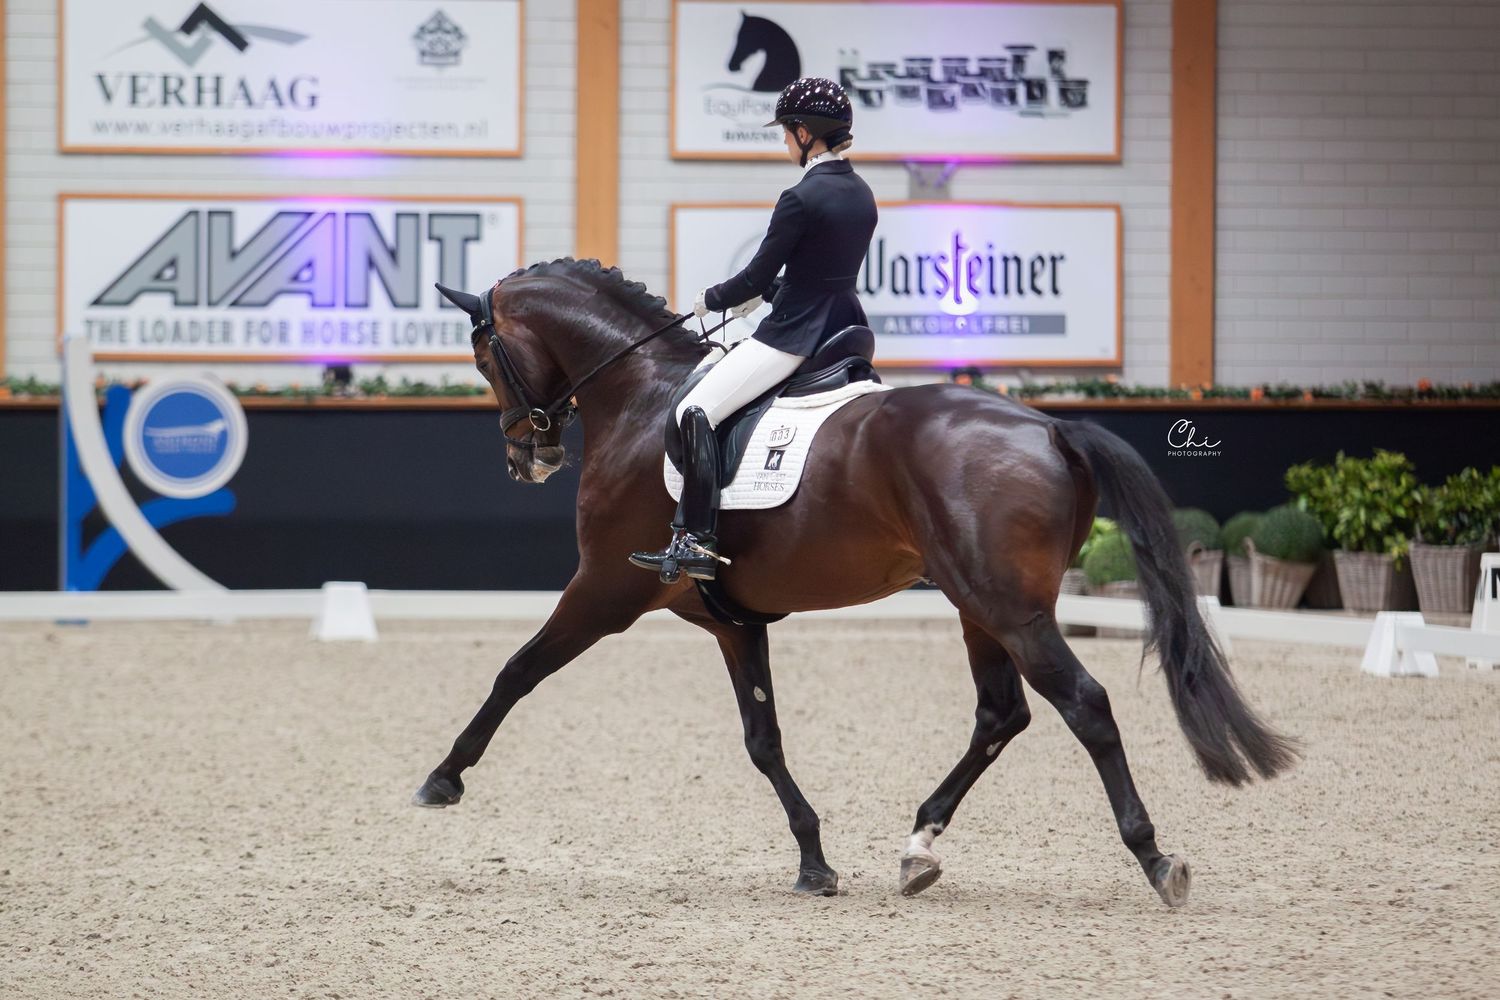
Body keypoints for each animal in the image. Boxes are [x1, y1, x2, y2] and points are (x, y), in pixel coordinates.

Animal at [411, 259, 1298, 906]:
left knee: (1084, 704)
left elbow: (516, 671)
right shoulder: (732, 620)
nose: (527, 456)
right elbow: (763, 739)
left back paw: (1154, 858)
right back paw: (917, 849)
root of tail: (1050, 427)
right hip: (980, 606)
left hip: (1009, 609)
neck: (642, 397)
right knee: (1001, 714)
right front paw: (814, 861)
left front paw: (442, 778)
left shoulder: (602, 590)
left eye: (485, 357)